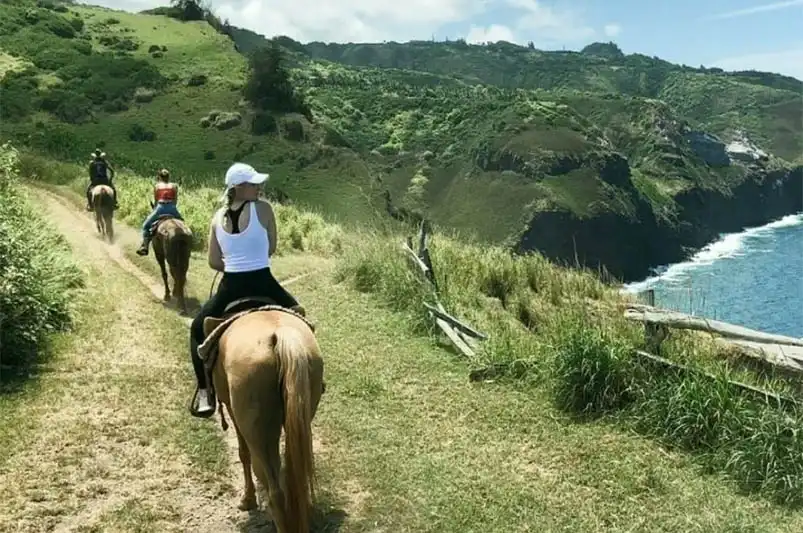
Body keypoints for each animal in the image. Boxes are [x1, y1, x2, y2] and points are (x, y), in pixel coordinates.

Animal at [199, 302, 326, 532]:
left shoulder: (233, 412)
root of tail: (280, 335)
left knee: (275, 490)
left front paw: (247, 500)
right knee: (294, 478)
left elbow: (243, 453)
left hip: (259, 435)